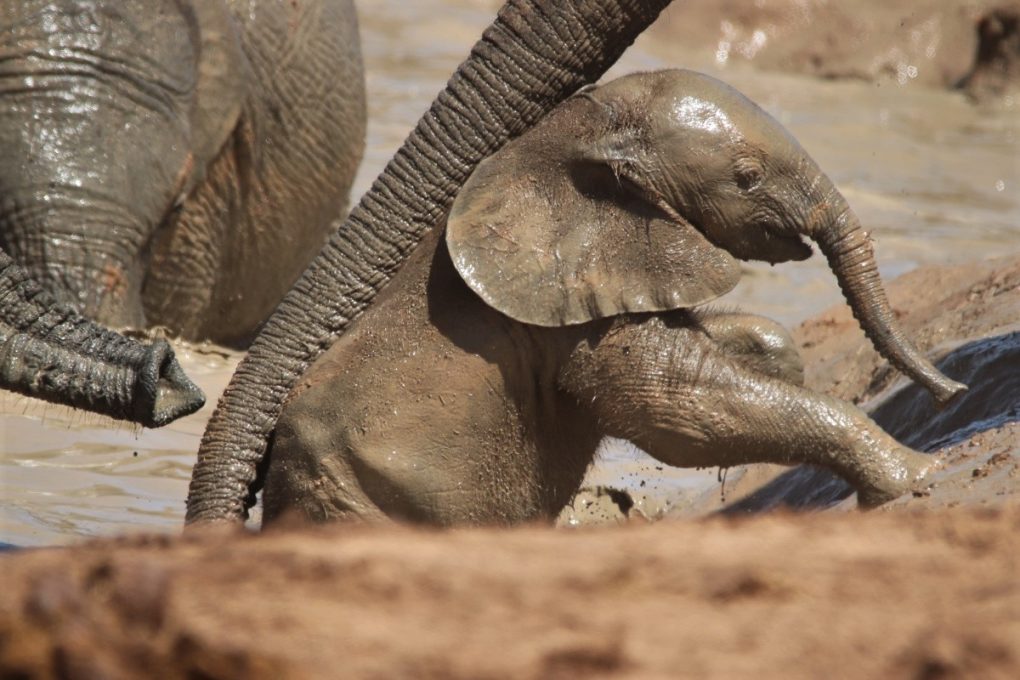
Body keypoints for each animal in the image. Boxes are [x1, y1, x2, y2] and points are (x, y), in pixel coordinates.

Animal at [185, 0, 962, 526]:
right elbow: (676, 406)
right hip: (354, 502)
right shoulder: (565, 307)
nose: (948, 392)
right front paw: (921, 473)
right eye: (746, 178)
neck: (571, 134)